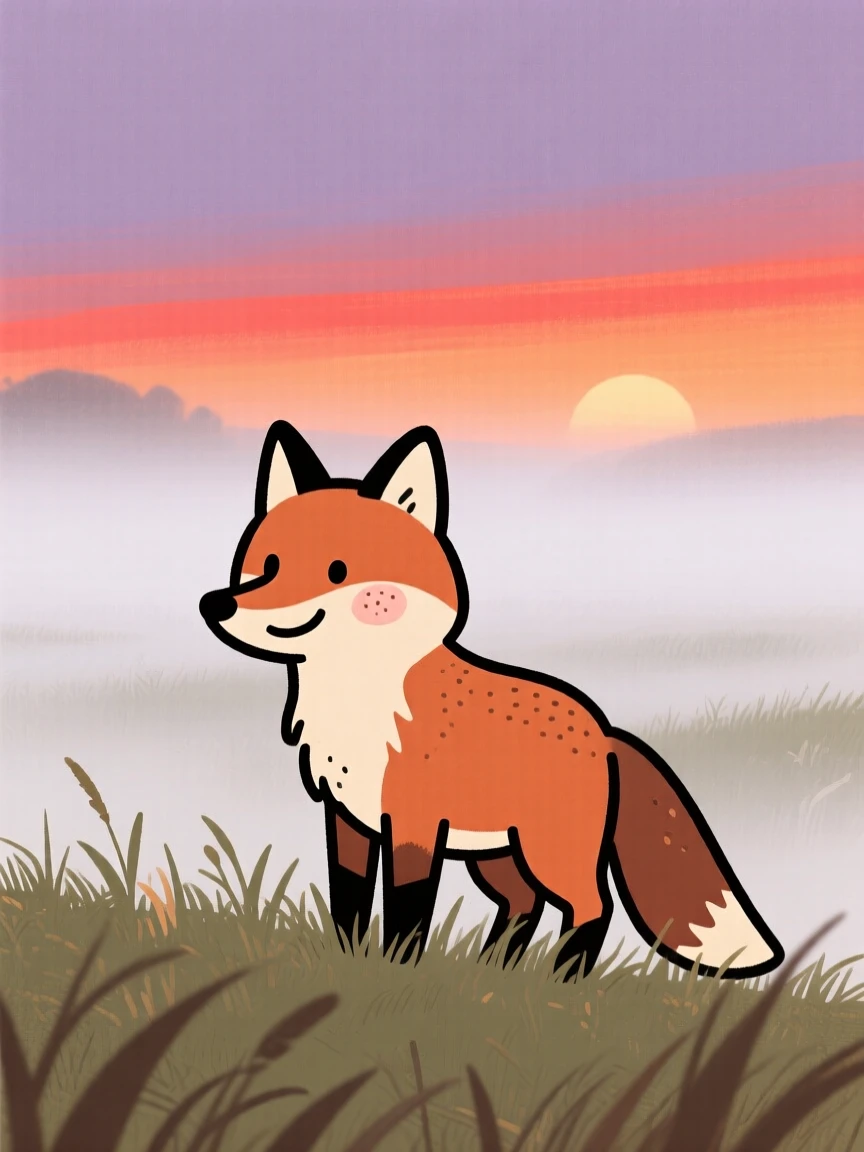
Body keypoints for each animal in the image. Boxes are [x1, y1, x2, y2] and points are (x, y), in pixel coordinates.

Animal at [200, 421, 785, 981]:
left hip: (548, 851)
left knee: (591, 907)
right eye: (265, 565)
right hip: (498, 856)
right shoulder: (346, 816)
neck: (360, 700)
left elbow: (408, 909)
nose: (216, 605)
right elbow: (348, 901)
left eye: (337, 571)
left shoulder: (413, 825)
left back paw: (560, 984)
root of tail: (604, 732)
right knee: (525, 904)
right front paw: (348, 961)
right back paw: (494, 971)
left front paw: (397, 972)